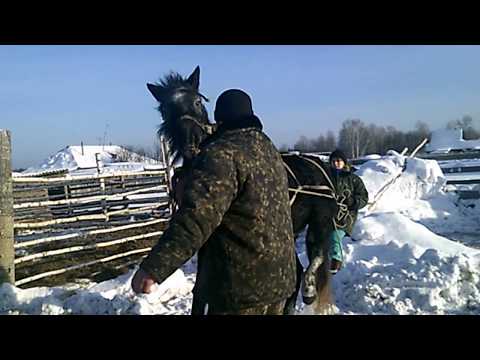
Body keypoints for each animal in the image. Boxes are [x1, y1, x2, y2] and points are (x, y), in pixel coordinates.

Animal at [146, 66, 338, 314]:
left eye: (197, 101)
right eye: (165, 109)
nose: (191, 144)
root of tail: (320, 166)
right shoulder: (207, 244)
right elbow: (199, 292)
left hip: (319, 222)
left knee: (316, 258)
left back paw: (309, 290)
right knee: (294, 273)